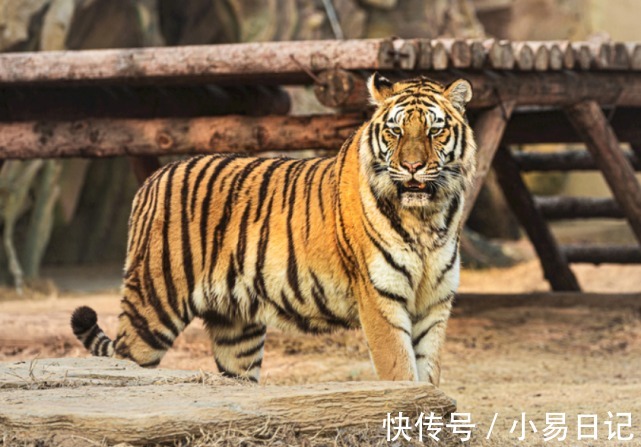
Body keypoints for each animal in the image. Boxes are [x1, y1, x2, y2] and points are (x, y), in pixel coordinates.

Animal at [71, 73, 475, 384]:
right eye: (395, 131)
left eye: (434, 131)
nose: (411, 167)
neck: (426, 218)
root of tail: (152, 180)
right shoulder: (381, 299)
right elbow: (401, 374)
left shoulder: (434, 303)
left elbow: (429, 376)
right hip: (153, 305)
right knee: (125, 360)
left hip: (237, 330)